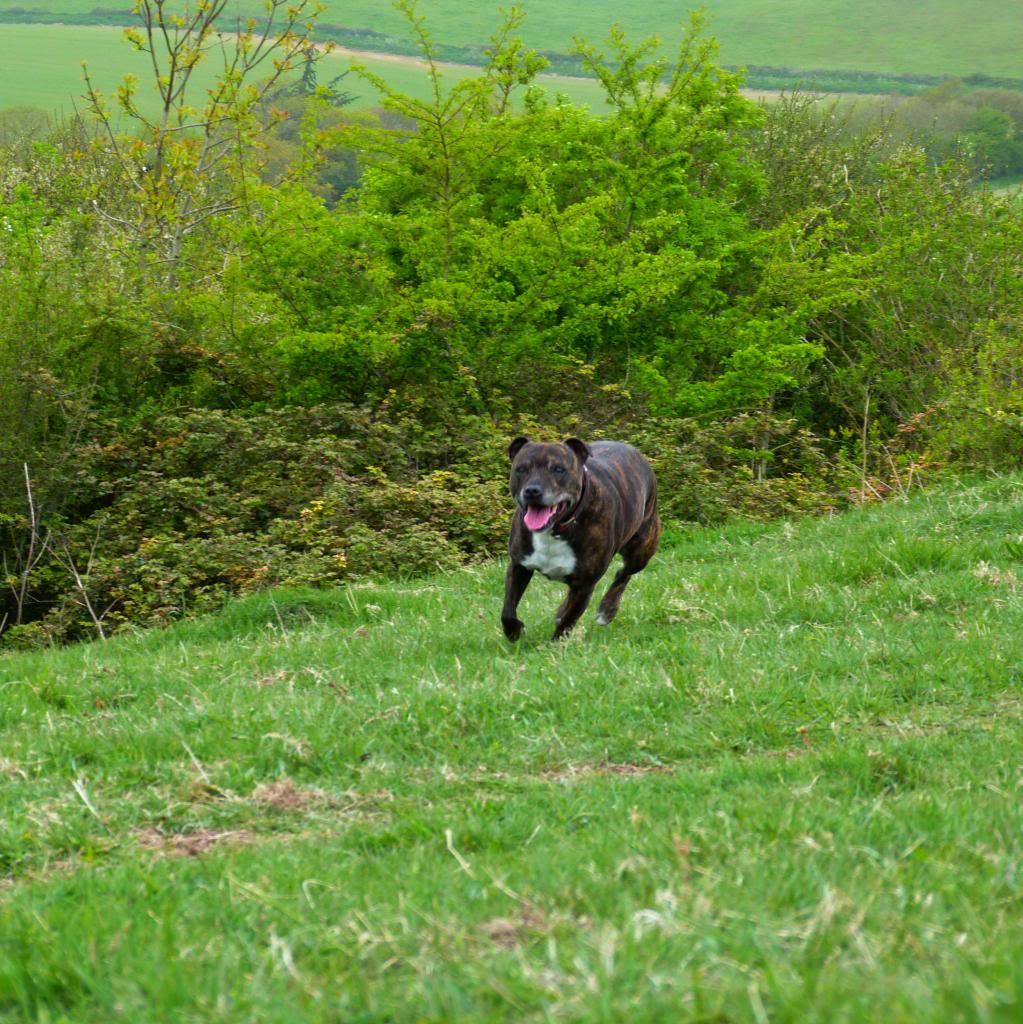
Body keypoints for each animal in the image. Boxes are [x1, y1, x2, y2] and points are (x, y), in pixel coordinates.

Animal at [499, 434, 659, 638]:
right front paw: (514, 631)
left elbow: (568, 622)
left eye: (559, 469)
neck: (556, 530)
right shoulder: (519, 565)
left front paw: (556, 643)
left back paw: (607, 610)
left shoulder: (585, 584)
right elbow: (507, 610)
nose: (532, 490)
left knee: (624, 574)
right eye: (521, 469)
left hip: (641, 549)